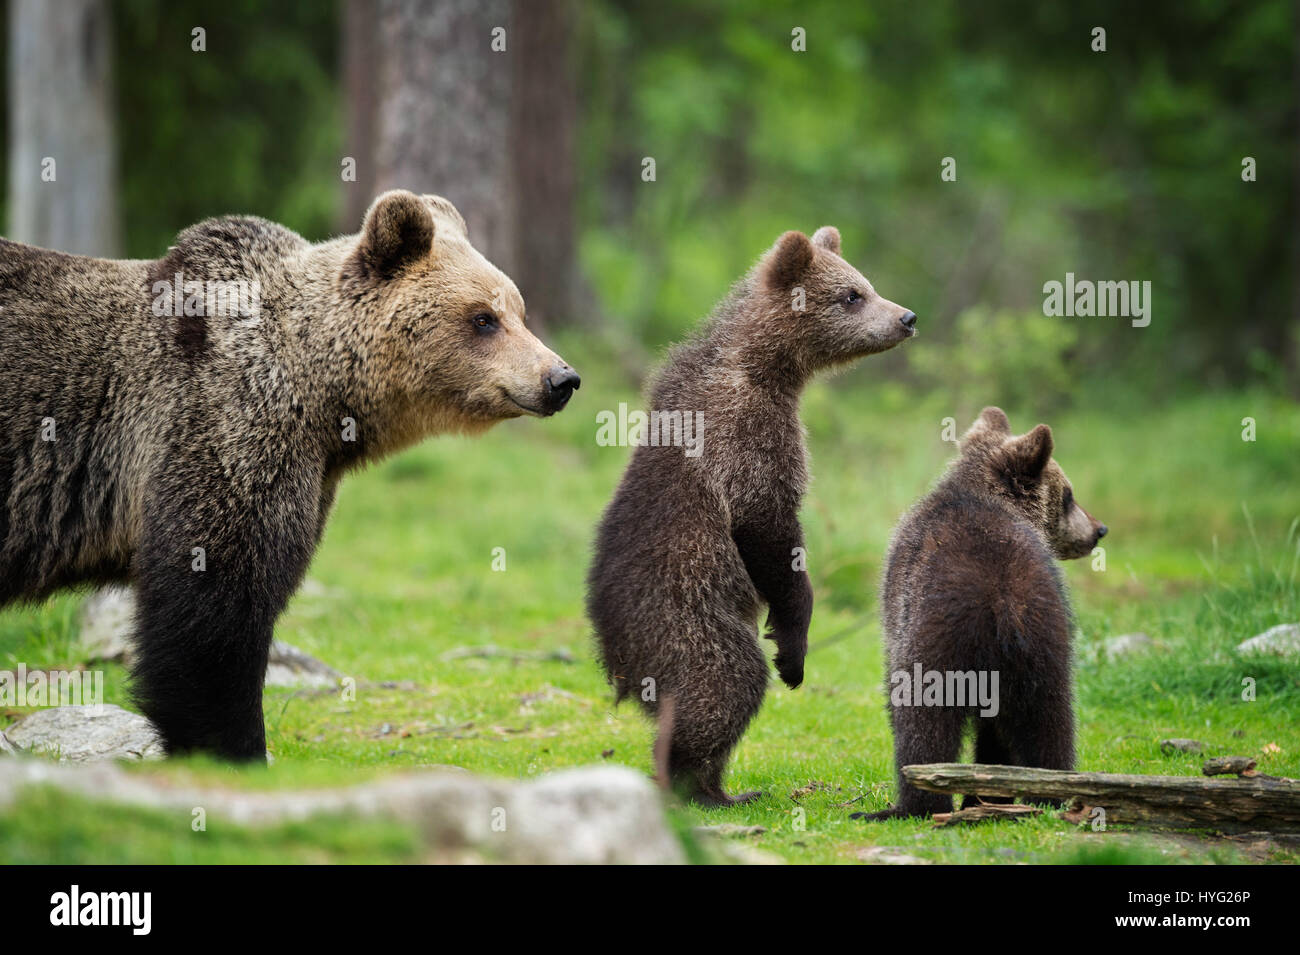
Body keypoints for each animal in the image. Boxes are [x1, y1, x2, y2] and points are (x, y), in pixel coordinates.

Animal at [0, 189, 579, 761]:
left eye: (519, 310)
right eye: (483, 317)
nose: (561, 378)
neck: (321, 397)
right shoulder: (219, 427)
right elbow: (214, 603)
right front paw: (234, 744)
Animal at [587, 226, 917, 805]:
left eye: (866, 285)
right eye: (851, 295)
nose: (906, 316)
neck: (769, 369)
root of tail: (615, 657)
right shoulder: (746, 437)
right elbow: (769, 531)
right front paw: (792, 647)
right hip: (684, 614)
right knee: (724, 683)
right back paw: (699, 783)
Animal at [858, 407, 1106, 819]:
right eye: (1069, 495)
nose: (1099, 529)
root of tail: (1002, 603)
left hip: (936, 641)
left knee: (923, 722)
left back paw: (911, 803)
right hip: (1045, 640)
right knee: (1051, 721)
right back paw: (1044, 791)